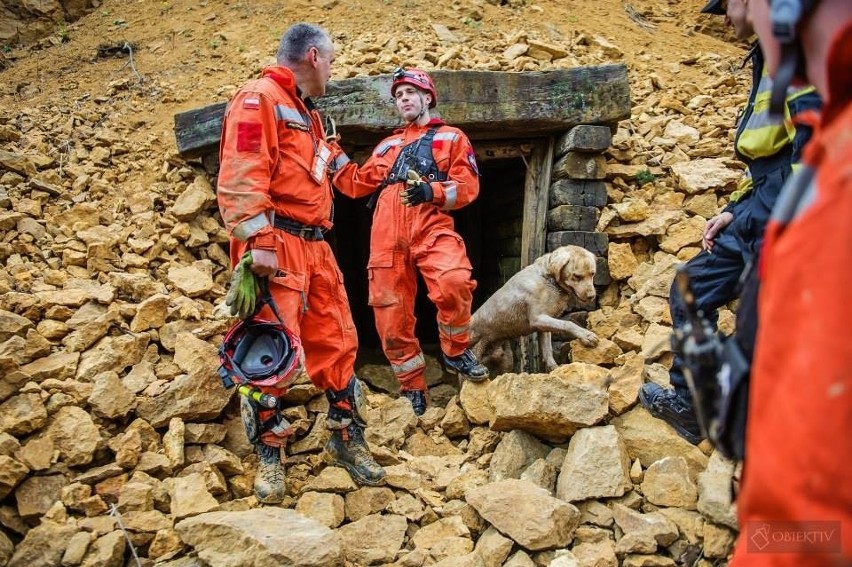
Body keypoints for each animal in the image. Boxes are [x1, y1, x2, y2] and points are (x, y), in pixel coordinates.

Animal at [466, 246, 600, 374]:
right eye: (577, 276)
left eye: (593, 274)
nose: (592, 296)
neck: (548, 279)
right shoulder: (537, 319)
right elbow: (568, 323)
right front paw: (587, 335)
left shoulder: (545, 325)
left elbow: (548, 350)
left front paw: (554, 369)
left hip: (507, 361)